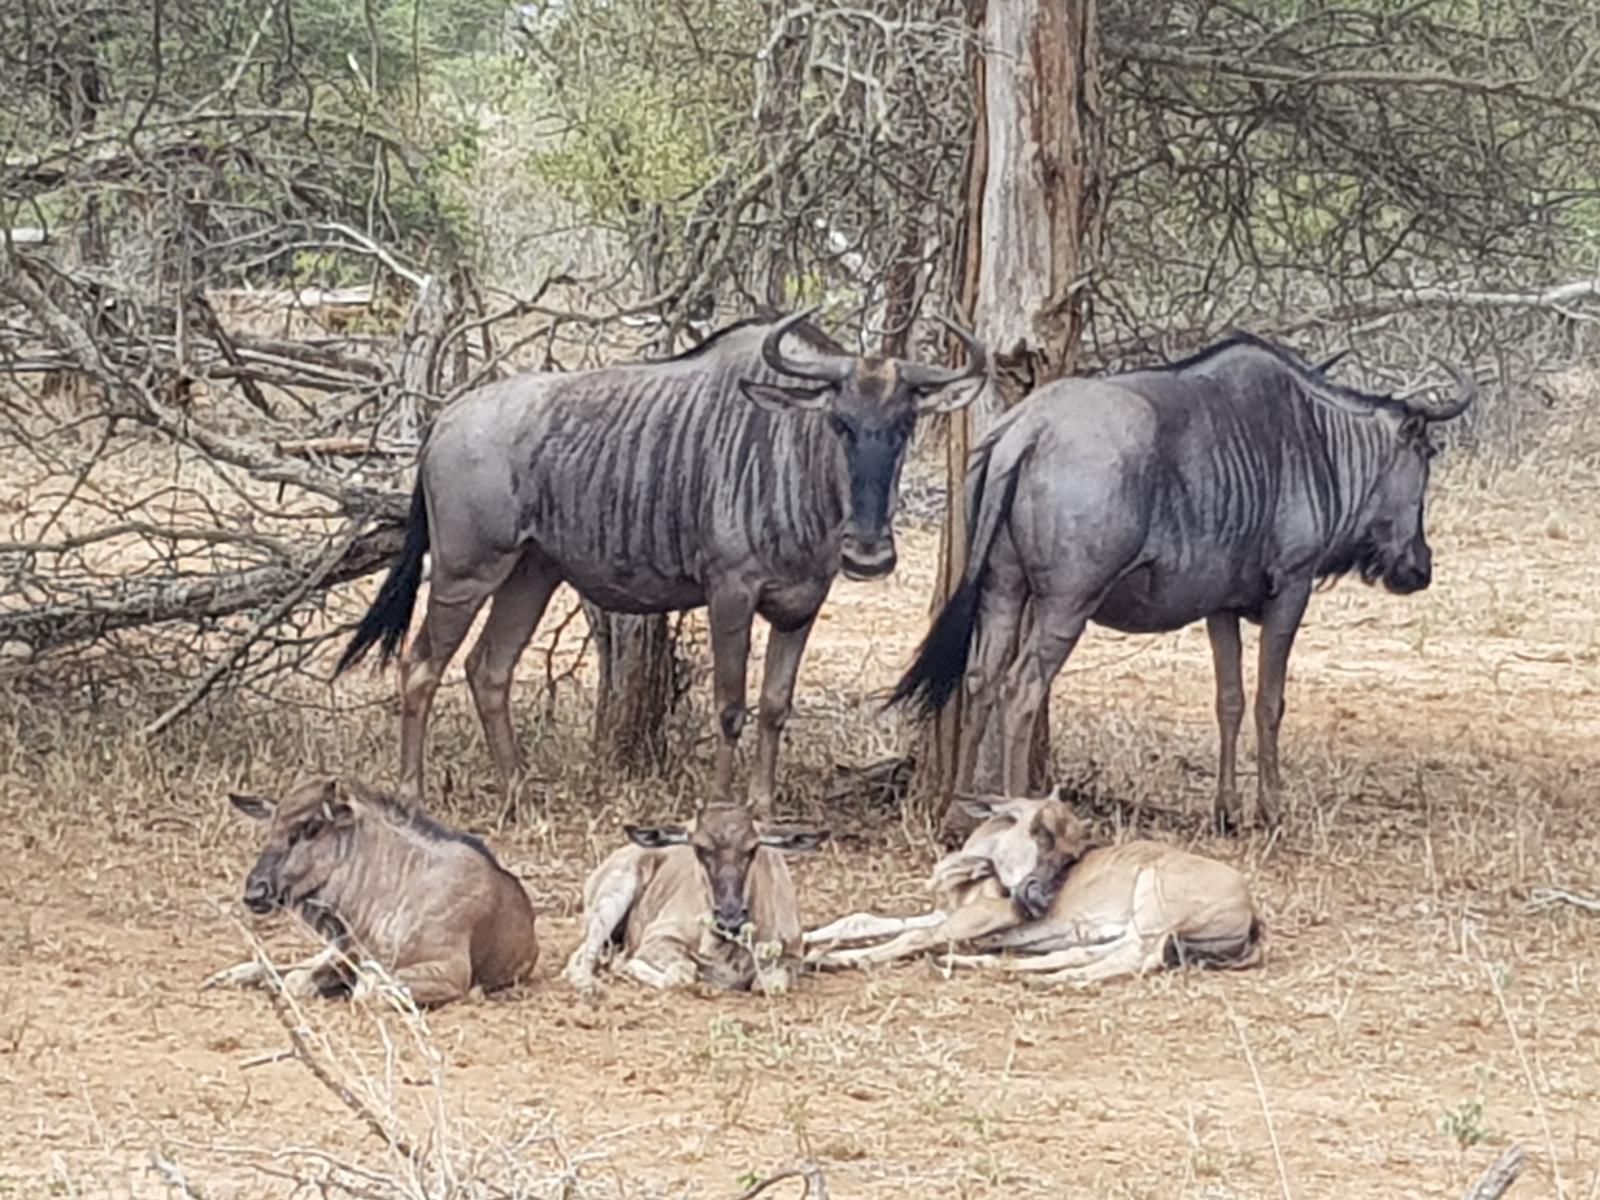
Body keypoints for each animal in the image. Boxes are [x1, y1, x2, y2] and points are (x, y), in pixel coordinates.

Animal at [203, 774, 540, 1011]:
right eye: (271, 828)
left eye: (311, 827)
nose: (255, 892)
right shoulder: (348, 952)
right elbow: (301, 979)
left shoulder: (449, 972)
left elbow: (364, 991)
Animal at [334, 310, 985, 819]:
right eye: (840, 422)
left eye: (904, 425)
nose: (869, 552)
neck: (791, 458)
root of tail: (443, 421)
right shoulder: (730, 592)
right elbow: (730, 706)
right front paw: (722, 806)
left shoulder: (801, 606)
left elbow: (775, 707)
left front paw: (764, 806)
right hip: (464, 573)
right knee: (422, 665)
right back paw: (413, 797)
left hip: (531, 574)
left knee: (489, 670)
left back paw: (518, 793)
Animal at [563, 809, 832, 998]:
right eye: (700, 848)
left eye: (752, 848)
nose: (730, 917)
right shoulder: (658, 939)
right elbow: (682, 974)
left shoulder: (792, 956)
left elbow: (769, 985)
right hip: (613, 898)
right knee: (581, 957)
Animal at [806, 790, 1267, 985]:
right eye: (1040, 832)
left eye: (1072, 854)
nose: (1040, 900)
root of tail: (1251, 912)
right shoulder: (952, 911)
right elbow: (862, 920)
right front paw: (809, 940)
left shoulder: (985, 914)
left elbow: (912, 937)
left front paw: (835, 958)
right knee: (1084, 952)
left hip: (1153, 899)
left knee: (1138, 958)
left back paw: (1057, 981)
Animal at [889, 334, 1472, 832]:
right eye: (1426, 457)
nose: (1420, 568)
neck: (1317, 441)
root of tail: (1026, 429)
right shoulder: (1292, 589)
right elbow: (1270, 701)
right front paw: (1270, 810)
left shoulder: (1221, 607)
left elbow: (1229, 700)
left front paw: (1227, 811)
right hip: (1065, 605)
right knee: (1022, 688)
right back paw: (1022, 813)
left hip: (1002, 589)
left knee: (980, 679)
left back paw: (960, 810)